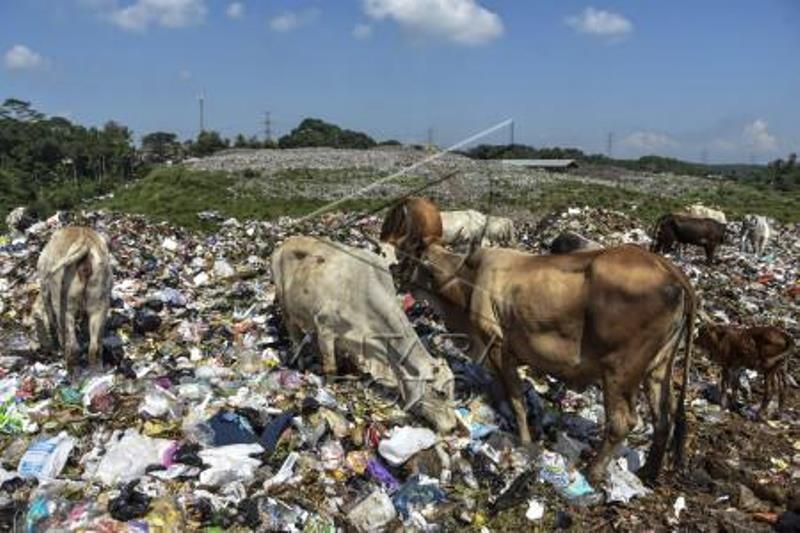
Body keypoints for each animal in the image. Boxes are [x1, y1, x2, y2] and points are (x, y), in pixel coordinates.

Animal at [33, 227, 112, 372]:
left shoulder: (45, 288)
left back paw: (69, 368)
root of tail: (84, 244)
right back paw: (96, 370)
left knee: (72, 345)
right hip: (99, 303)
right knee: (94, 346)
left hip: (63, 306)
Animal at [272, 236, 456, 432]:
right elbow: (331, 368)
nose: (453, 427)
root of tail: (286, 242)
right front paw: (330, 394)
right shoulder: (325, 328)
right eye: (440, 393)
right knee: (294, 333)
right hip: (285, 305)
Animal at [406, 243, 692, 484]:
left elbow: (516, 399)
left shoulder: (498, 347)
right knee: (663, 419)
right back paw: (648, 473)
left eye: (418, 262)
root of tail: (671, 270)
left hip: (619, 371)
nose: (402, 280)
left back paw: (594, 472)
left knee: (622, 421)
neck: (467, 279)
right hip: (657, 369)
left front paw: (524, 440)